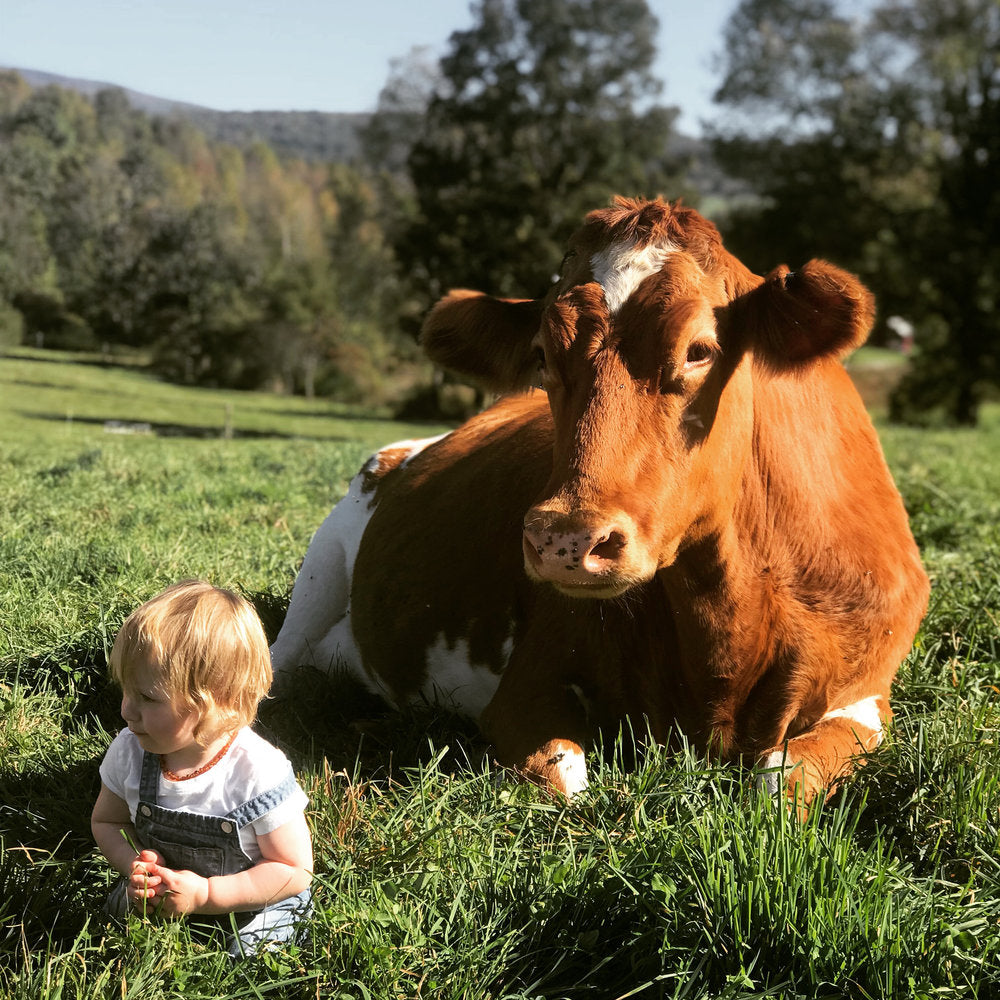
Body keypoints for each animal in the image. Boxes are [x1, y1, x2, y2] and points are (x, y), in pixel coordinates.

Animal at [268, 199, 928, 808]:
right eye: (541, 355)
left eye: (699, 350)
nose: (564, 540)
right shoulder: (526, 685)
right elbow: (566, 780)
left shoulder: (865, 693)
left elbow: (780, 783)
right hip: (315, 582)